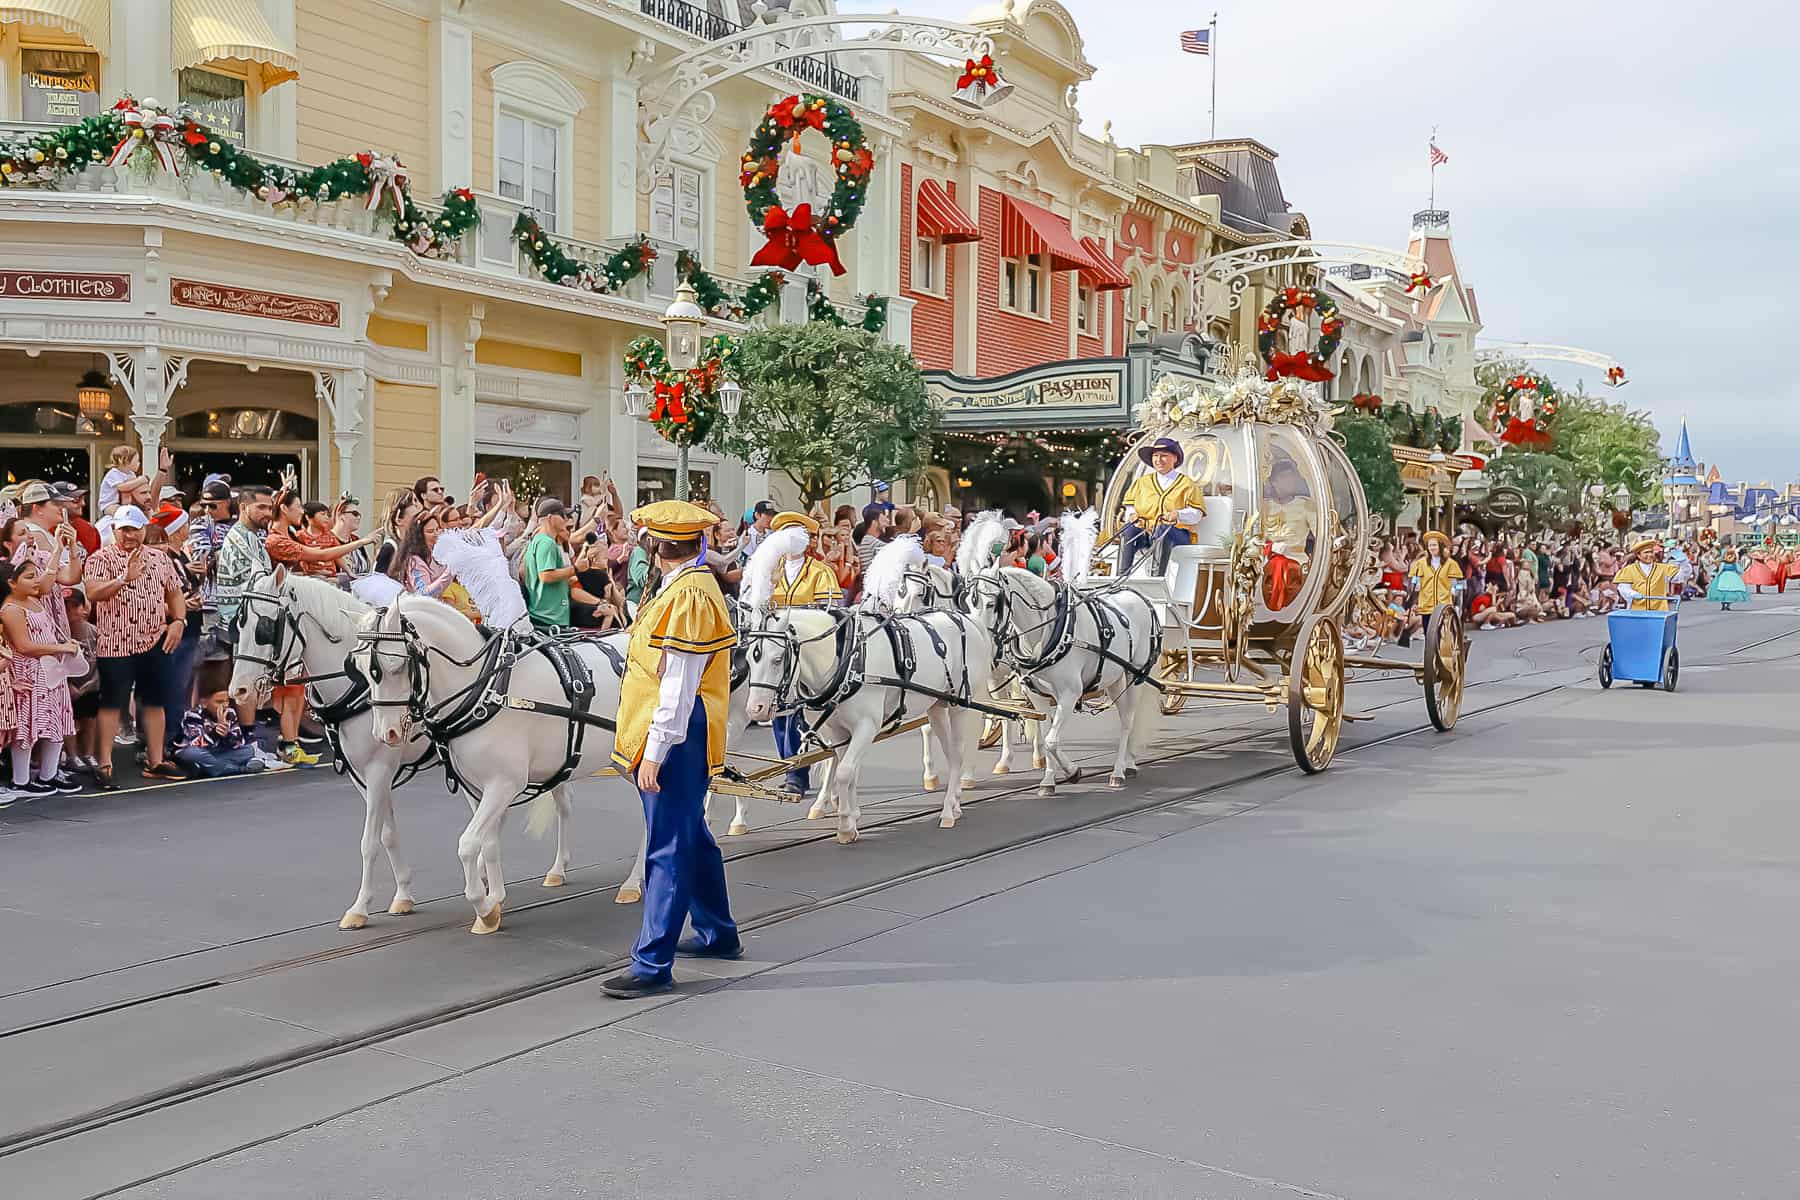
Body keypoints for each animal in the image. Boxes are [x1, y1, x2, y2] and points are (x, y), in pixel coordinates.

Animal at [741, 536, 1000, 845]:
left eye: (778, 659)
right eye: (748, 658)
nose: (755, 709)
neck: (848, 657)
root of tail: (968, 620)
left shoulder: (867, 726)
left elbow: (844, 772)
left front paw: (844, 825)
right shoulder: (838, 731)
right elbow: (846, 770)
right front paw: (851, 818)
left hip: (958, 706)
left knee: (959, 753)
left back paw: (949, 810)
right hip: (937, 706)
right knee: (950, 753)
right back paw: (955, 803)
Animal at [964, 510, 1159, 791]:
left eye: (992, 603)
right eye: (968, 601)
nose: (979, 644)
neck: (1046, 634)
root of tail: (1139, 595)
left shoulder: (1070, 693)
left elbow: (1052, 740)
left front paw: (1068, 772)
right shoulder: (1037, 696)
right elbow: (1048, 737)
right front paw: (1054, 777)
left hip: (1135, 677)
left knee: (1127, 722)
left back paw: (1120, 770)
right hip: (1114, 679)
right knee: (1125, 718)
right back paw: (1127, 764)